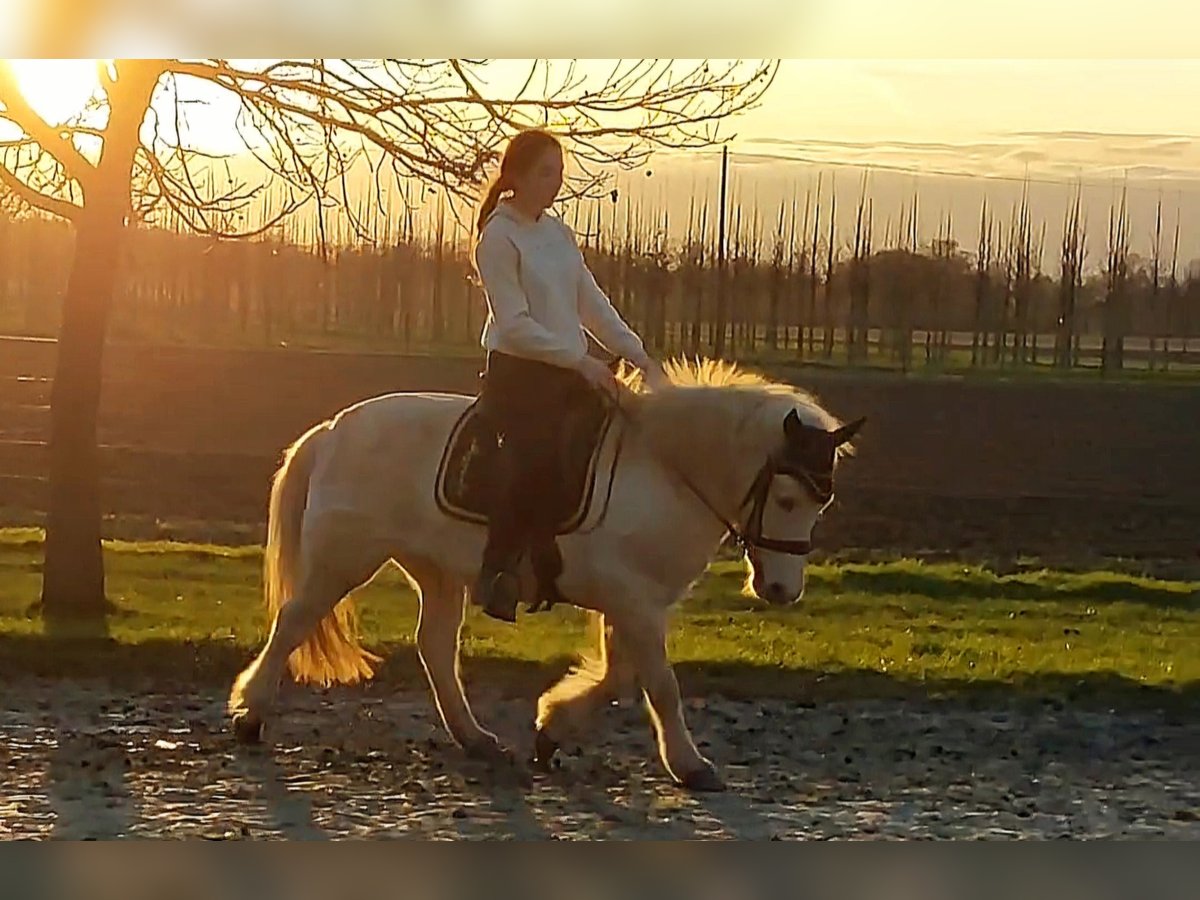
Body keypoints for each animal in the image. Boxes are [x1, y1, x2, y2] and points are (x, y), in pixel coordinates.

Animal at [225, 355, 864, 792]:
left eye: (824, 501)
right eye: (786, 498)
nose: (781, 591)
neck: (666, 472)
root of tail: (333, 428)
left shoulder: (633, 602)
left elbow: (620, 678)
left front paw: (551, 728)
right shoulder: (634, 602)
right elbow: (660, 685)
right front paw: (690, 765)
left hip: (436, 570)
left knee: (435, 647)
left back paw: (476, 738)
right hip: (346, 558)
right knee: (293, 623)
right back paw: (249, 716)